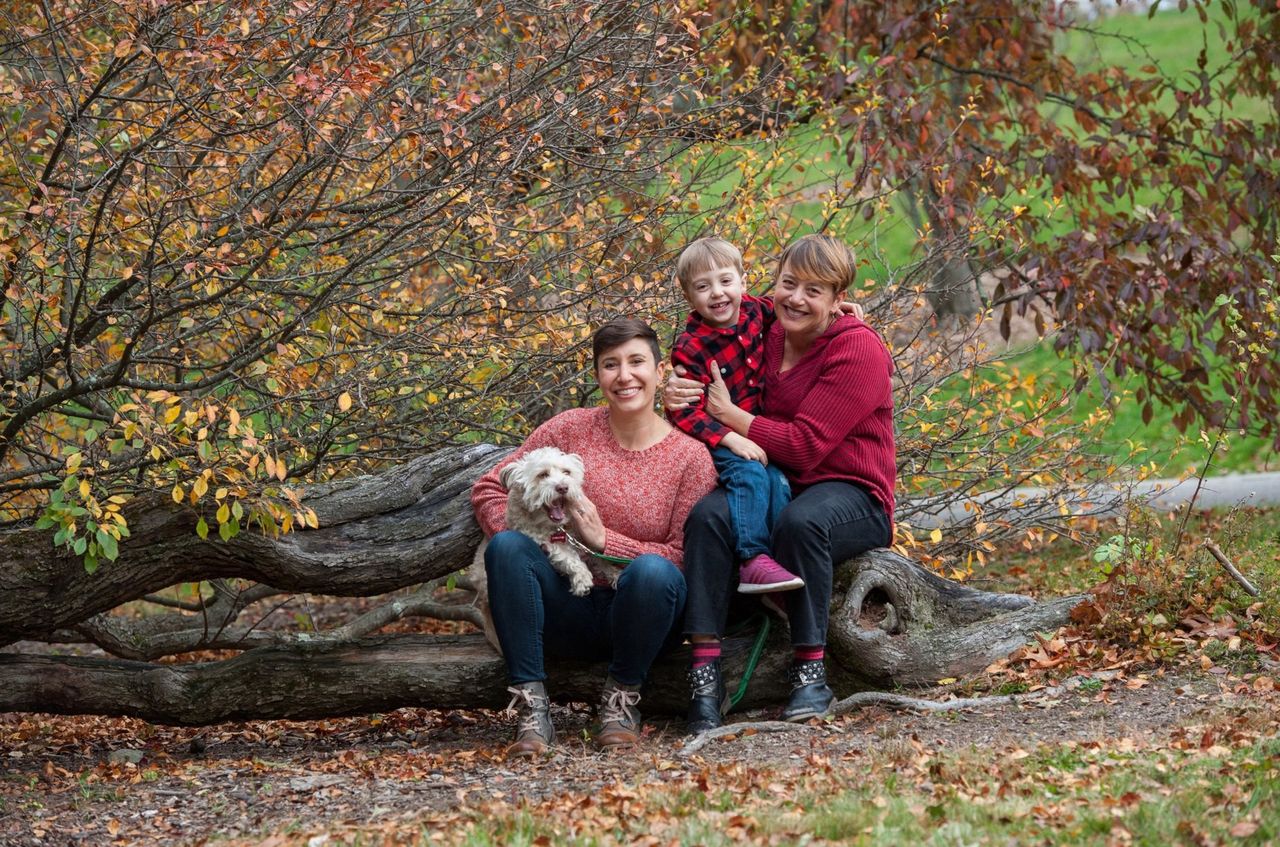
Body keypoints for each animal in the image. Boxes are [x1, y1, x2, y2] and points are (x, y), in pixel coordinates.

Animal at [468, 450, 591, 649]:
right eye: (542, 475)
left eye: (567, 472)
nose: (563, 487)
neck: (558, 528)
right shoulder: (543, 541)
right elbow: (568, 557)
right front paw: (582, 579)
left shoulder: (583, 536)